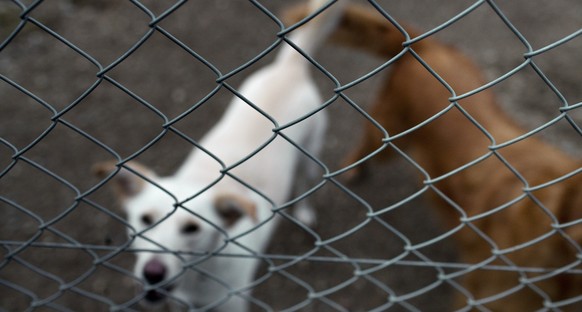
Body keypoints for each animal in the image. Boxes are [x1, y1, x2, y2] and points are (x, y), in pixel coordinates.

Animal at [93, 1, 344, 310]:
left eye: (192, 228)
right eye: (145, 219)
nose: (153, 273)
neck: (199, 275)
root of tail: (289, 68)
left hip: (310, 155)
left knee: (305, 183)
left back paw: (305, 212)